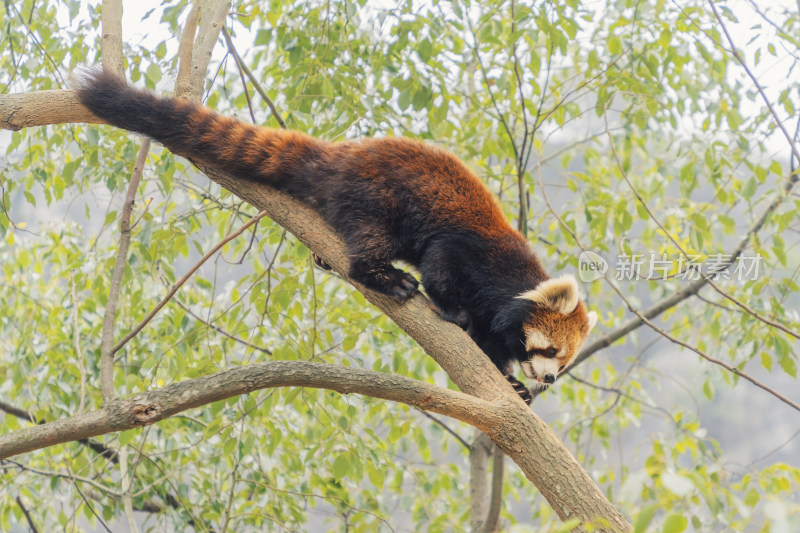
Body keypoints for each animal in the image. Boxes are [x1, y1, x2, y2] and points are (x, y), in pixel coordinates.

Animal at [76, 70, 592, 404]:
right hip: (376, 196)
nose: (549, 380)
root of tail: (345, 153)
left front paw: (514, 386)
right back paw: (387, 278)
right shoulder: (477, 253)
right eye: (550, 350)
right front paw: (454, 311)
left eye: (564, 363)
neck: (514, 282)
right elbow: (443, 264)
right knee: (370, 245)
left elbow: (491, 347)